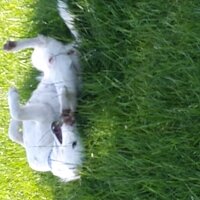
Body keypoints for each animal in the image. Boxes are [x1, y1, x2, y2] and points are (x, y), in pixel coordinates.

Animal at [3, 0, 83, 181]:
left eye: (75, 143)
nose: (70, 121)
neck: (49, 156)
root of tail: (73, 49)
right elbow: (13, 132)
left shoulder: (42, 112)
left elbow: (17, 113)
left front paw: (13, 94)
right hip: (41, 58)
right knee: (40, 40)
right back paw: (12, 46)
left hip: (51, 62)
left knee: (42, 40)